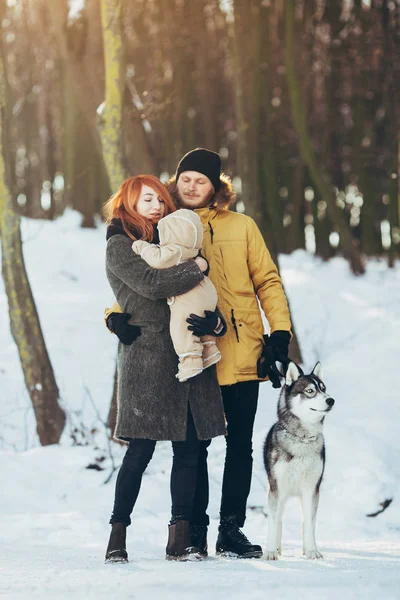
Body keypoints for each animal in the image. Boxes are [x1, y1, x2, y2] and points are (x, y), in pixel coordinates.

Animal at [262, 360, 334, 564]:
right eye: (310, 391)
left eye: (324, 389)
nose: (331, 400)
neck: (301, 439)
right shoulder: (276, 488)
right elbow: (273, 522)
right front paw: (270, 551)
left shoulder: (311, 488)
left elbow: (309, 523)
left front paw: (312, 550)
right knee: (278, 520)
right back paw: (277, 548)